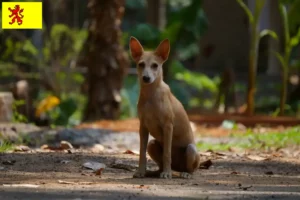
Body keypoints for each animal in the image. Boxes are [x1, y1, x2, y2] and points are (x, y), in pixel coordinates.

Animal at [128, 36, 199, 179]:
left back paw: (183, 173)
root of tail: (177, 168)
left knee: (192, 169)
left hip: (191, 150)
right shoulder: (143, 127)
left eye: (155, 65)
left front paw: (167, 173)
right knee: (158, 163)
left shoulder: (168, 126)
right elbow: (141, 152)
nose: (146, 78)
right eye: (141, 64)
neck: (151, 95)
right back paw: (154, 172)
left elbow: (167, 153)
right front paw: (141, 171)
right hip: (152, 144)